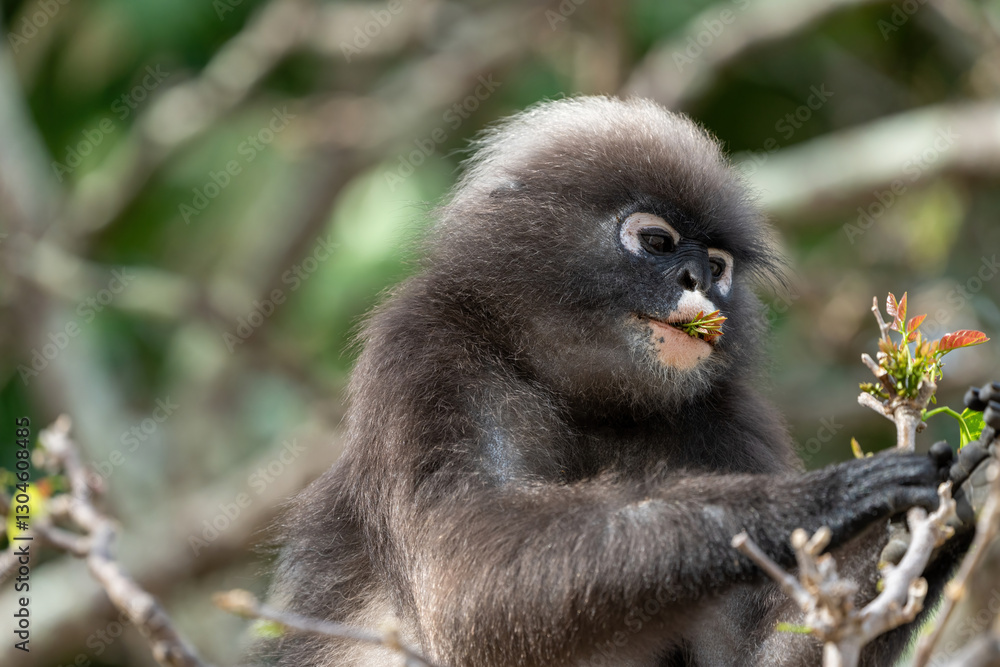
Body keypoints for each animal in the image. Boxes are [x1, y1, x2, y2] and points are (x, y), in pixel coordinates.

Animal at [257, 96, 999, 667]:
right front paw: (817, 498)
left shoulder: (727, 416)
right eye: (658, 242)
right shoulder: (423, 351)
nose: (699, 280)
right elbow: (466, 586)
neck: (590, 399)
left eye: (718, 264)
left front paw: (962, 497)